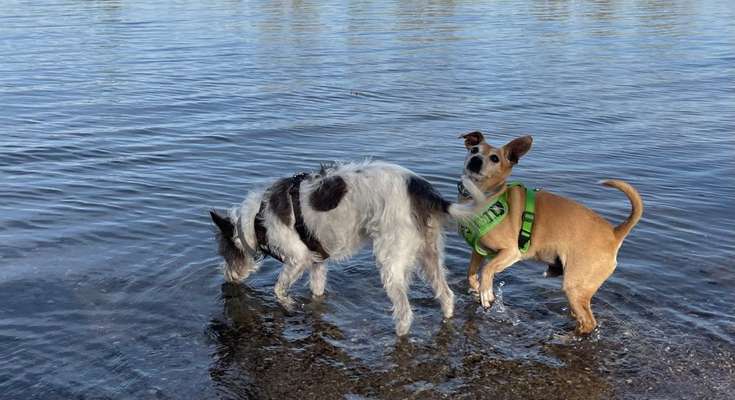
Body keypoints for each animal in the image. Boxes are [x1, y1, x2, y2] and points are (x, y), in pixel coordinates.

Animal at [460, 131, 644, 334]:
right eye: (474, 150)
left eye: (494, 158)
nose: (475, 160)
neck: (482, 197)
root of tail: (614, 233)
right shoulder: (478, 250)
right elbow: (471, 273)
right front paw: (477, 287)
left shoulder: (511, 252)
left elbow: (487, 269)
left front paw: (486, 292)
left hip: (574, 286)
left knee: (589, 322)